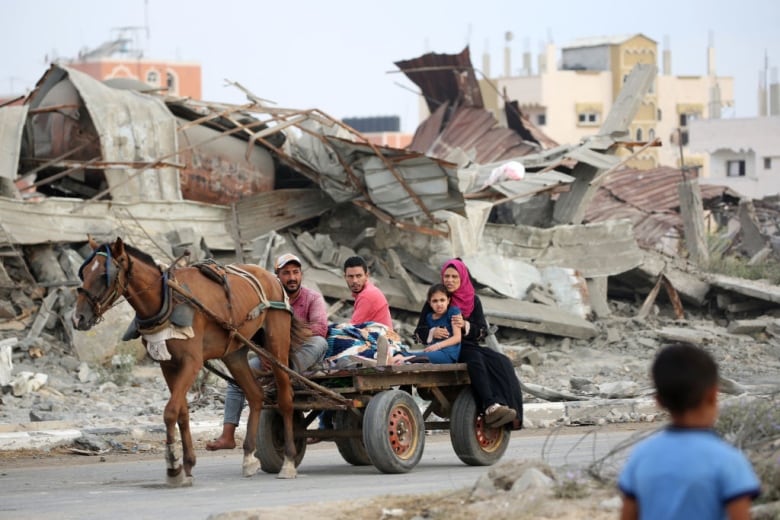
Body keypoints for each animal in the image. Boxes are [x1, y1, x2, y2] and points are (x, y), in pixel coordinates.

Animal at [71, 238, 308, 486]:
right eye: (83, 273)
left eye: (103, 275)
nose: (78, 318)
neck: (167, 298)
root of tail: (272, 277)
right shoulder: (167, 364)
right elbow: (182, 413)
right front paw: (188, 466)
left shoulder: (192, 362)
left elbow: (170, 411)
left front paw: (174, 467)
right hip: (234, 352)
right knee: (255, 395)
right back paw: (249, 456)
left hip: (277, 344)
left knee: (285, 399)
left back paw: (288, 461)